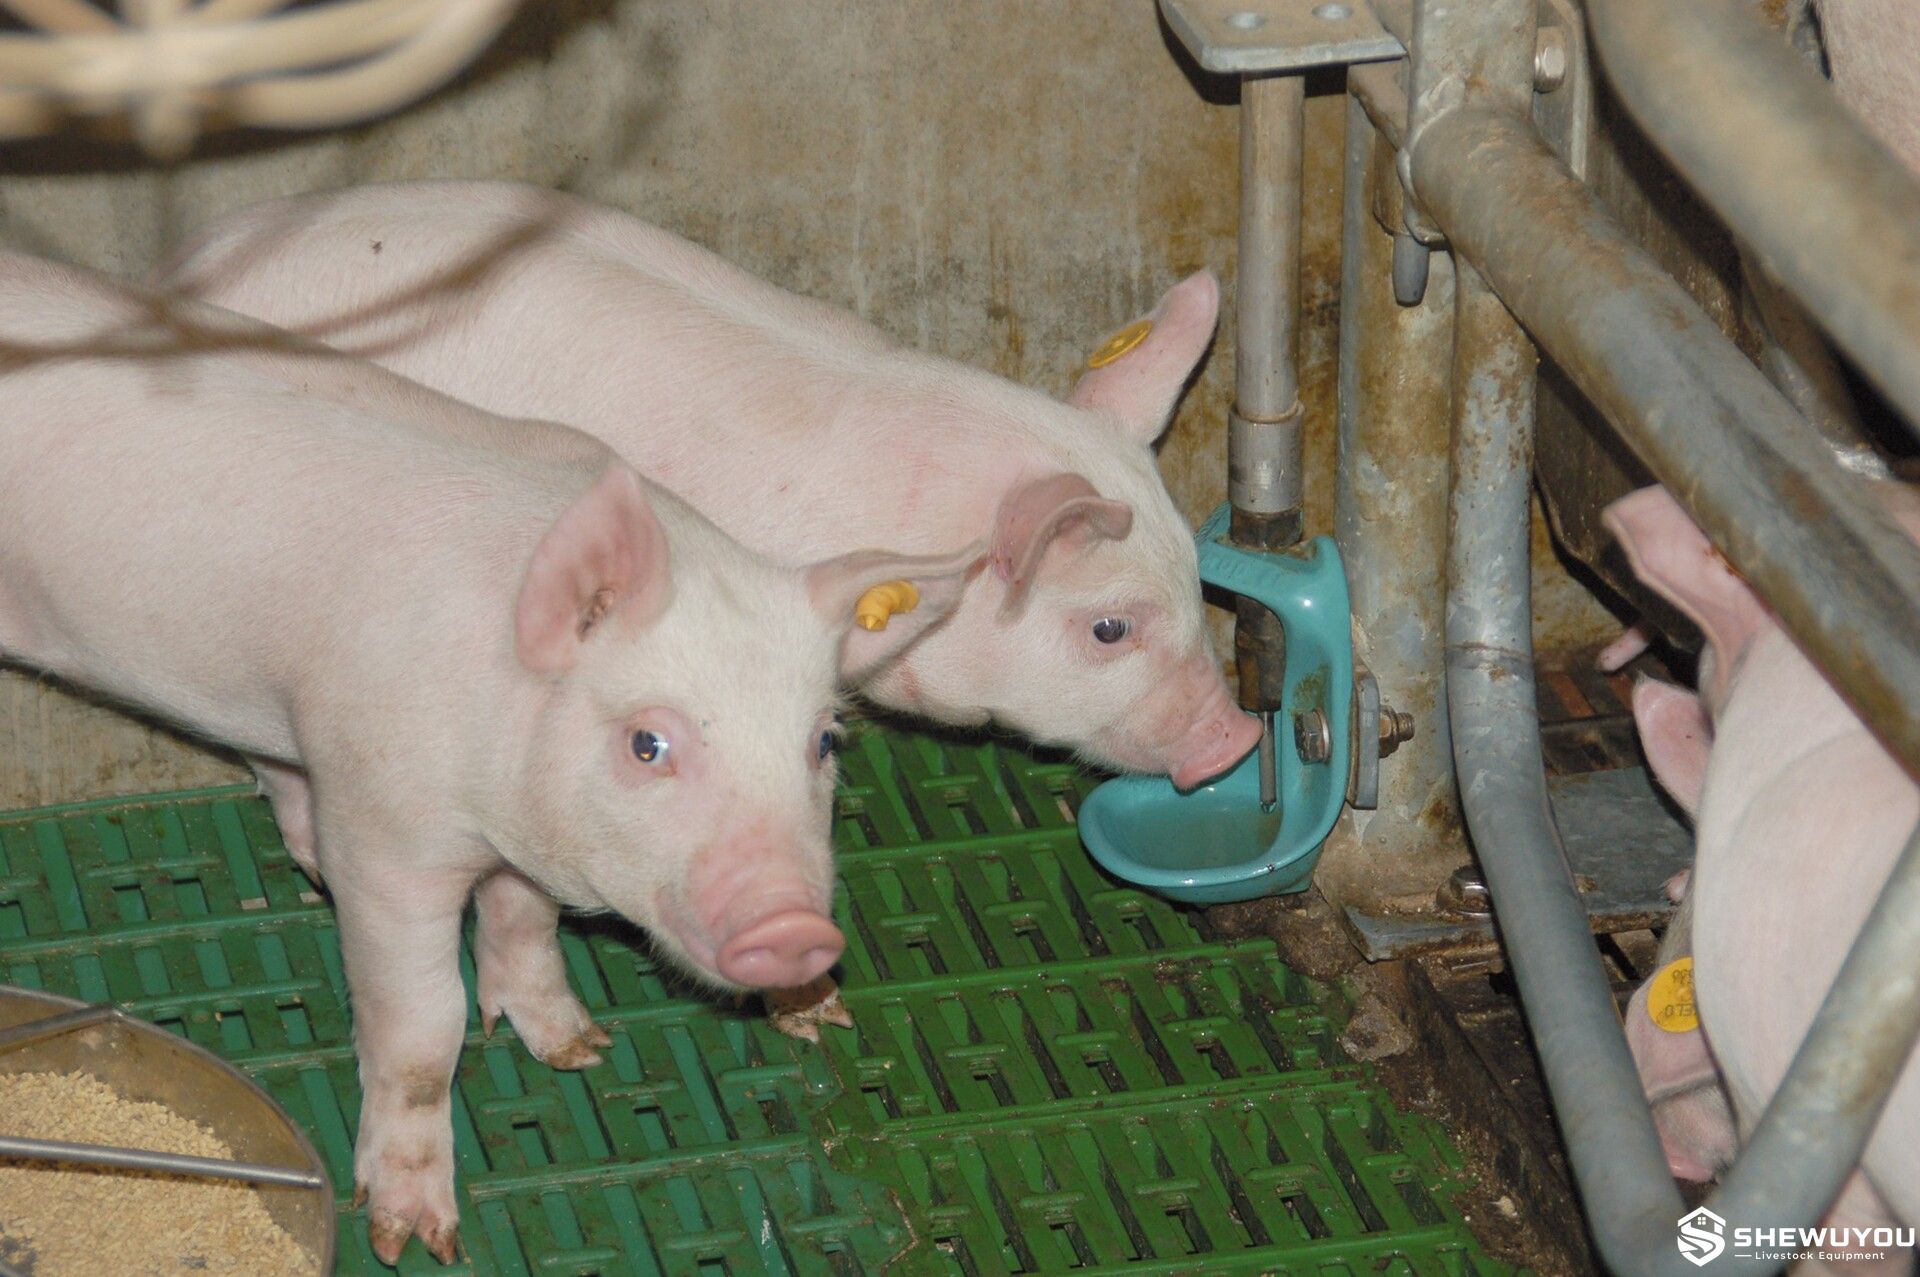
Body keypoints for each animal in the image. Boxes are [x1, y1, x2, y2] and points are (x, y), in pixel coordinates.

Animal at [0, 250, 976, 1265]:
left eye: (823, 740)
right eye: (648, 742)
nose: (798, 928)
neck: (502, 804)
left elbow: (525, 919)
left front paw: (578, 1047)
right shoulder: (386, 834)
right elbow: (425, 1027)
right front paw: (416, 1239)